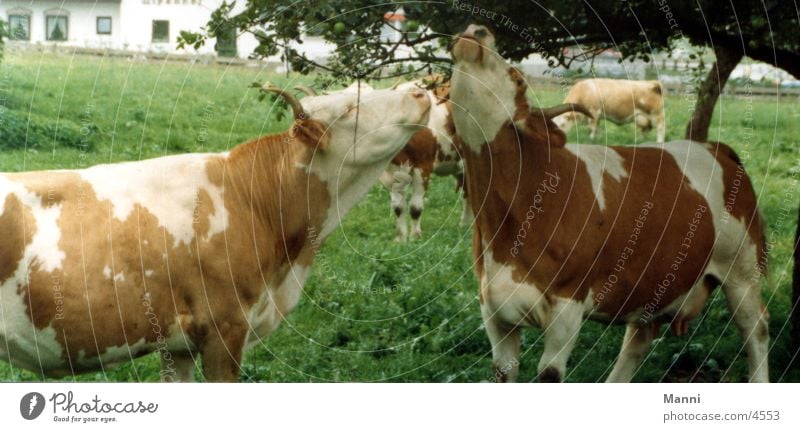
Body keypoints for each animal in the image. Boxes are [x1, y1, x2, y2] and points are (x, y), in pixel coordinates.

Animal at [450, 24, 768, 382]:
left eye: (517, 78)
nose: (475, 30)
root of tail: (715, 147)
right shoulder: (492, 308)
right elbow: (503, 372)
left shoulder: (567, 307)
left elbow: (549, 373)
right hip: (656, 282)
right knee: (638, 339)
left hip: (742, 269)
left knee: (756, 329)